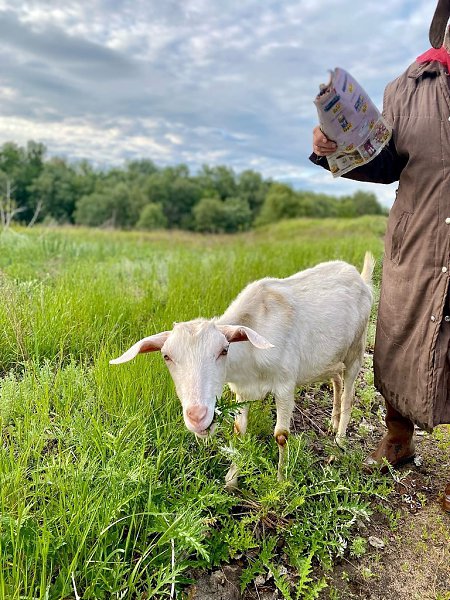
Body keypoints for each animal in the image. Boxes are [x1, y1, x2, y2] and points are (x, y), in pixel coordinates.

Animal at [110, 251, 374, 490]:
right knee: (336, 380)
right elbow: (239, 431)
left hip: (357, 348)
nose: (197, 416)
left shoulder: (285, 384)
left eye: (223, 350)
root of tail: (360, 277)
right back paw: (332, 422)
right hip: (332, 357)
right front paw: (231, 481)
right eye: (167, 356)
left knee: (349, 393)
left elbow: (281, 435)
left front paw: (281, 482)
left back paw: (339, 441)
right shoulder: (242, 390)